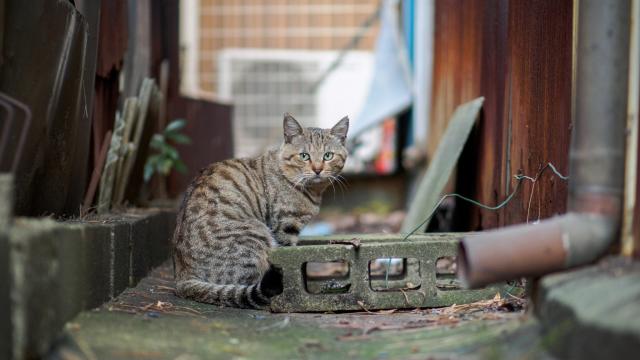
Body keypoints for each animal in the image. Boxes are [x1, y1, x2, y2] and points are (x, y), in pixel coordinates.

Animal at [172, 114, 348, 308]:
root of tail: (181, 277)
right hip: (256, 236)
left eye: (328, 155)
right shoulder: (285, 226)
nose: (317, 169)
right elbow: (290, 259)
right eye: (304, 156)